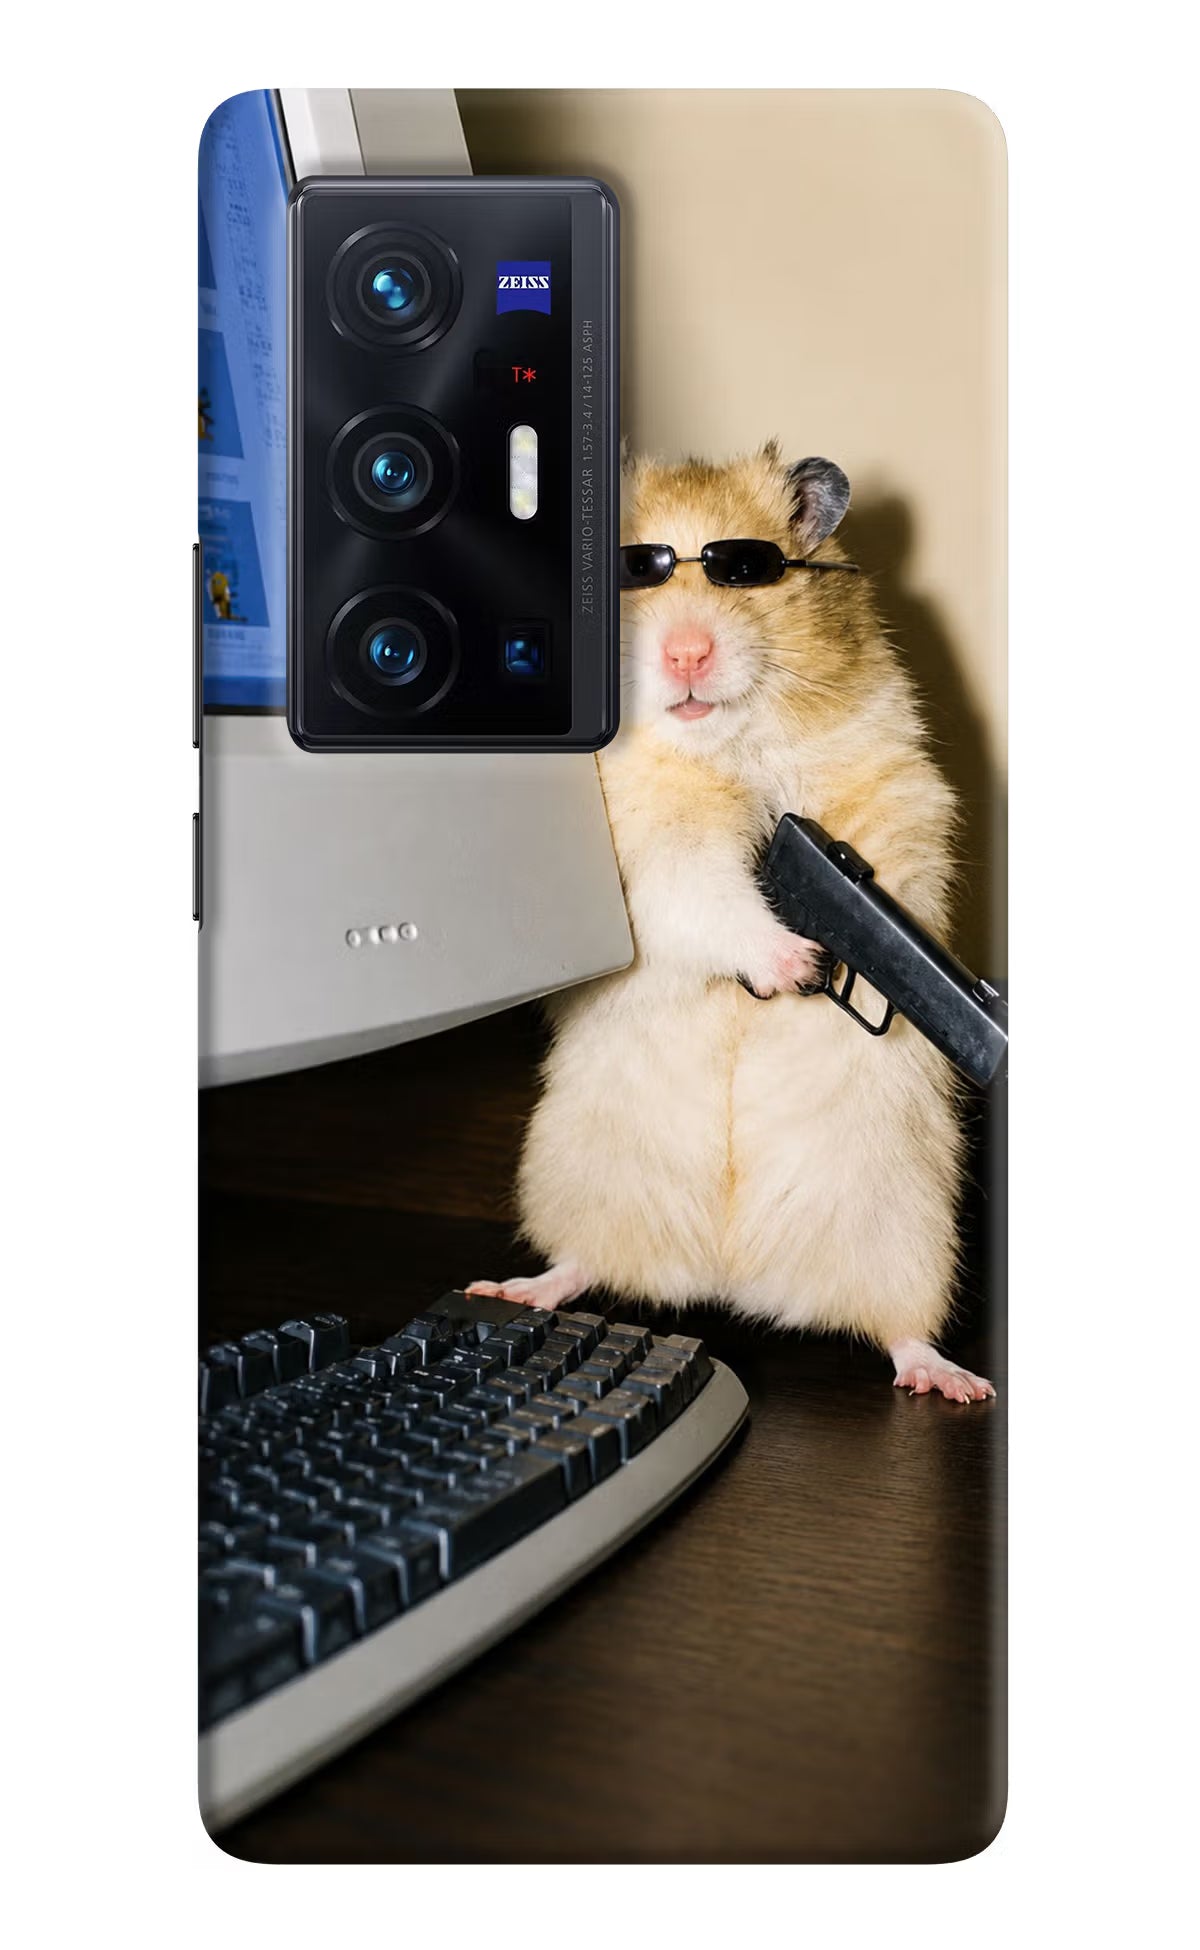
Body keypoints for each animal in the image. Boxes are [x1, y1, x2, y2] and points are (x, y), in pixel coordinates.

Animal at [469, 445, 993, 1403]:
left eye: (747, 571)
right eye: (630, 571)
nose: (686, 652)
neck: (726, 746)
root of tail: (730, 1276)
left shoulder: (895, 788)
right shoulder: (653, 852)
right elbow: (708, 895)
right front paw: (797, 964)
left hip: (908, 1228)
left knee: (900, 1328)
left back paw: (953, 1381)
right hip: (579, 1175)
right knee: (582, 1262)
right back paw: (515, 1288)